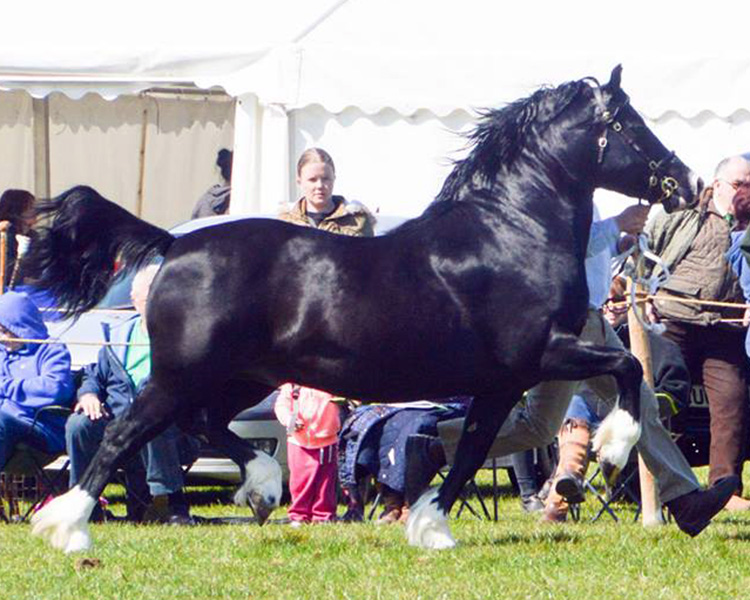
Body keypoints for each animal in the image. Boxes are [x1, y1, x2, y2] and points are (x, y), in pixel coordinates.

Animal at [27, 67, 700, 552]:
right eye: (633, 123)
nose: (687, 182)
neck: (510, 232)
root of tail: (173, 243)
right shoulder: (541, 356)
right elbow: (625, 369)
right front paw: (614, 446)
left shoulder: (500, 382)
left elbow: (471, 449)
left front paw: (429, 524)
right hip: (182, 376)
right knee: (124, 434)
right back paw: (68, 528)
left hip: (243, 377)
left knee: (203, 424)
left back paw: (263, 487)